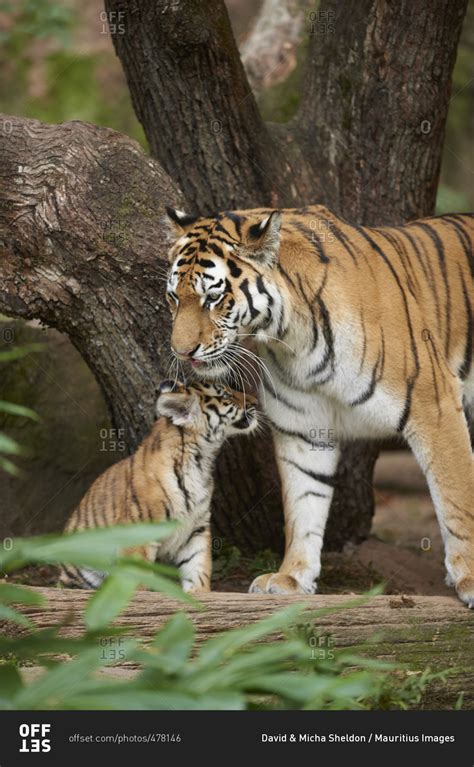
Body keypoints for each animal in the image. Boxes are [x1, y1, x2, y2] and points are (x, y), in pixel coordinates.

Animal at [164, 202, 474, 608]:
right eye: (174, 297)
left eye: (212, 298)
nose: (181, 352)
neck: (292, 336)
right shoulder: (303, 427)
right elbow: (304, 503)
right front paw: (292, 576)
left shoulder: (433, 406)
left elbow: (456, 499)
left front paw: (471, 579)